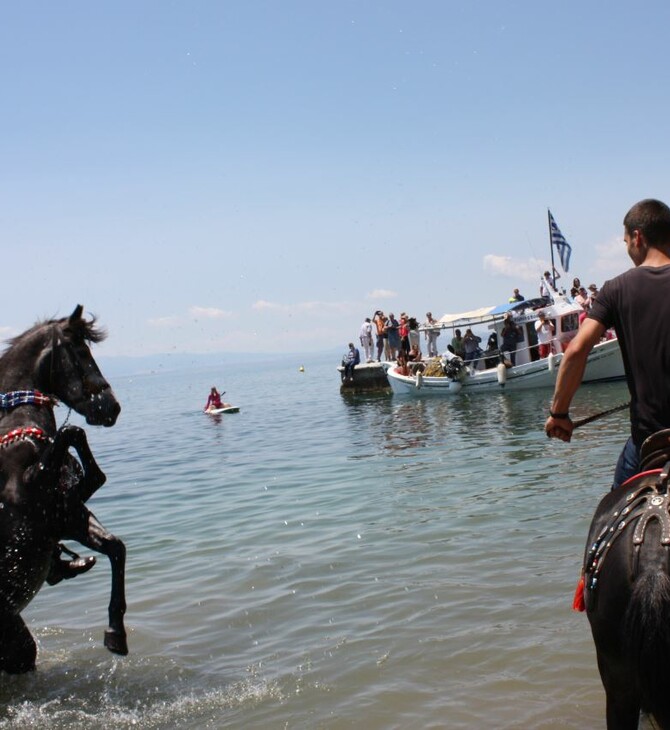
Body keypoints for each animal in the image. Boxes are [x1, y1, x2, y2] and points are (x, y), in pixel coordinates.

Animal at [0, 302, 126, 672]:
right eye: (81, 352)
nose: (111, 407)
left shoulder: (62, 517)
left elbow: (115, 546)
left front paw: (116, 632)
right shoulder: (27, 497)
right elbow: (72, 433)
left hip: (17, 645)